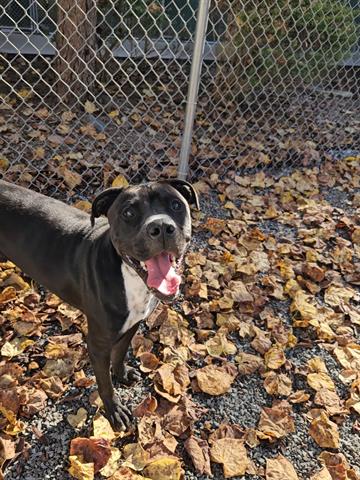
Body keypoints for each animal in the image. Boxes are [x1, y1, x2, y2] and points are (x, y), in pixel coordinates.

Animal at [0, 178, 197, 430]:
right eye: (128, 212)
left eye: (175, 205)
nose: (161, 227)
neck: (130, 277)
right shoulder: (97, 344)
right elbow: (104, 383)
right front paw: (114, 410)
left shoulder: (133, 324)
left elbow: (121, 352)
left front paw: (122, 374)